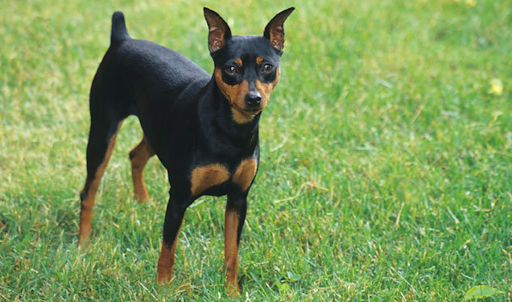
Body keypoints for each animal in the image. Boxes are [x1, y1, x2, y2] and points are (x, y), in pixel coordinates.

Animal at [79, 7, 296, 294]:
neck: (230, 131)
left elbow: (232, 253)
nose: (253, 99)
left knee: (135, 155)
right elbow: (167, 251)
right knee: (88, 191)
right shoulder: (179, 199)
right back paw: (83, 244)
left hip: (155, 131)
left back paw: (142, 201)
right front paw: (162, 289)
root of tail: (122, 39)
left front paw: (232, 291)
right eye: (231, 69)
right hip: (103, 133)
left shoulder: (238, 199)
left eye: (267, 67)